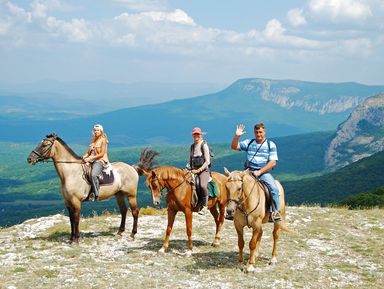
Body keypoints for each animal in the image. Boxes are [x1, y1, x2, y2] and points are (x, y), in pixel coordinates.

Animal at [27, 134, 158, 242]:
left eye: (44, 144)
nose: (29, 159)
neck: (70, 173)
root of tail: (132, 167)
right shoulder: (68, 201)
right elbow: (71, 219)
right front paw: (71, 238)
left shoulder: (76, 201)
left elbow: (76, 219)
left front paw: (76, 239)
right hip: (119, 194)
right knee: (124, 211)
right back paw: (119, 232)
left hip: (131, 195)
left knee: (135, 211)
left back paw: (132, 234)